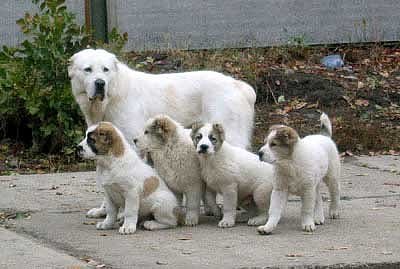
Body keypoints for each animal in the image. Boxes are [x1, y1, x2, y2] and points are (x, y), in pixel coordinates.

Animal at [68, 48, 256, 218]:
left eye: (105, 69)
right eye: (88, 69)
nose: (100, 83)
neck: (113, 95)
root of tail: (239, 85)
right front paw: (104, 210)